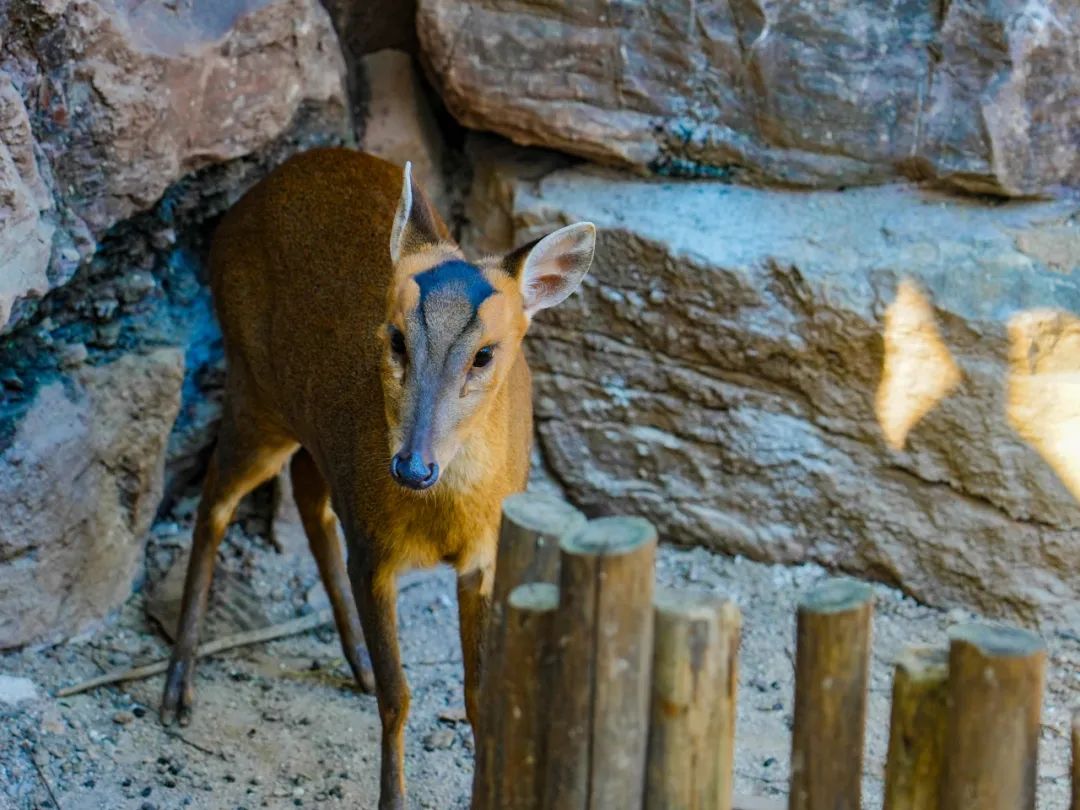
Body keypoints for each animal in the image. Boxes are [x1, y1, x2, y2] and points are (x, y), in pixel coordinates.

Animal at [157, 147, 600, 810]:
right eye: (395, 338)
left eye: (485, 354)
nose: (412, 465)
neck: (443, 517)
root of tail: (243, 206)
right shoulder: (372, 549)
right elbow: (399, 698)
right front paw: (393, 796)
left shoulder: (485, 555)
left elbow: (478, 697)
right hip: (255, 387)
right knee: (214, 503)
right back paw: (177, 688)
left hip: (304, 423)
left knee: (306, 496)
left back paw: (356, 661)